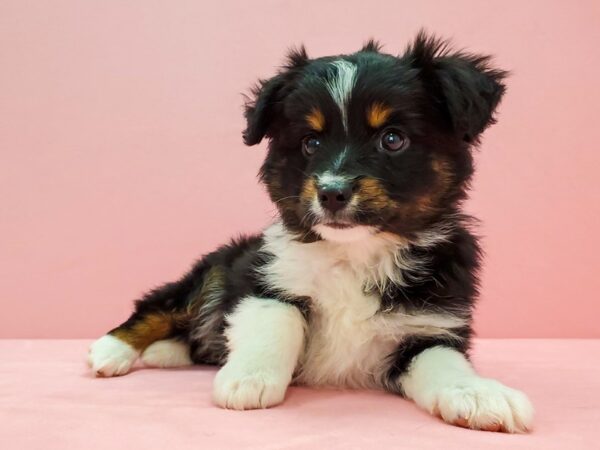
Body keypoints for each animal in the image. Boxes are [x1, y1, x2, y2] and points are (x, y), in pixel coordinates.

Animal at [88, 31, 536, 432]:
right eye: (310, 142)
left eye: (392, 139)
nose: (332, 192)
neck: (356, 253)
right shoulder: (261, 275)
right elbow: (280, 316)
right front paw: (249, 379)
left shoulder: (430, 324)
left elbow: (445, 362)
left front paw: (479, 395)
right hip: (212, 270)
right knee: (158, 307)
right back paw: (111, 351)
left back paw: (168, 353)